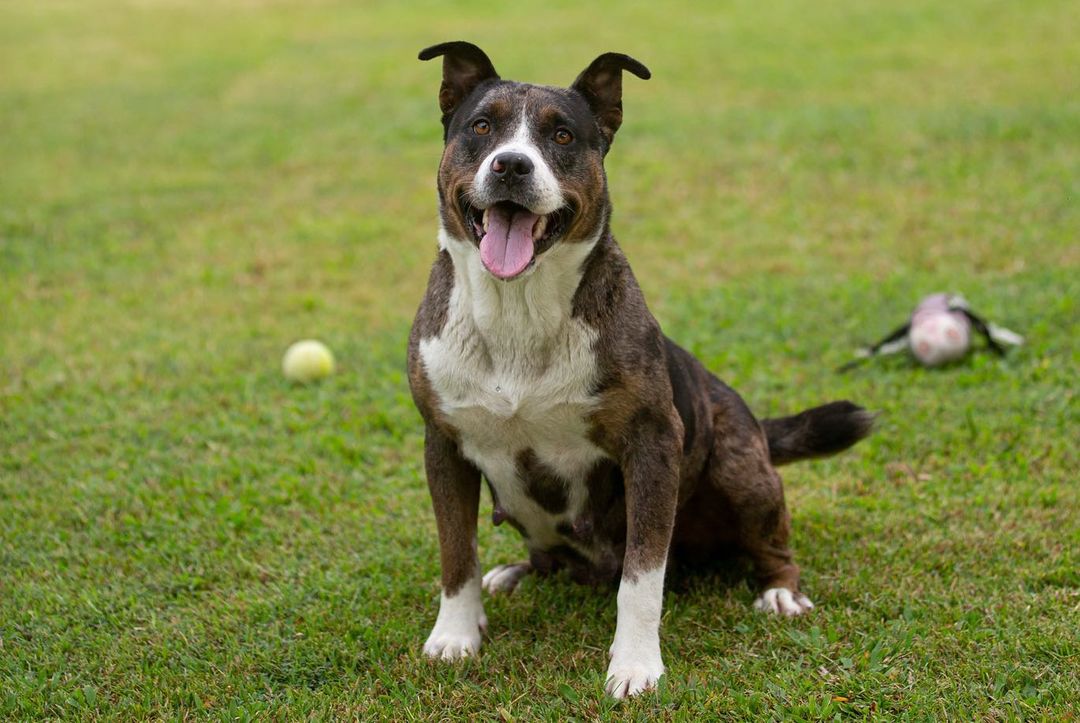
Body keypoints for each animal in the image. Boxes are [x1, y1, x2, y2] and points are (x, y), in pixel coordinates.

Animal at [406, 42, 876, 695]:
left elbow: (642, 577)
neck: (518, 309)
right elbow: (457, 553)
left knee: (772, 546)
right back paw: (516, 572)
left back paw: (780, 592)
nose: (511, 166)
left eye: (561, 135)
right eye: (480, 127)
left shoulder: (652, 445)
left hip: (742, 469)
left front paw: (635, 665)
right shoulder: (444, 444)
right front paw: (455, 633)